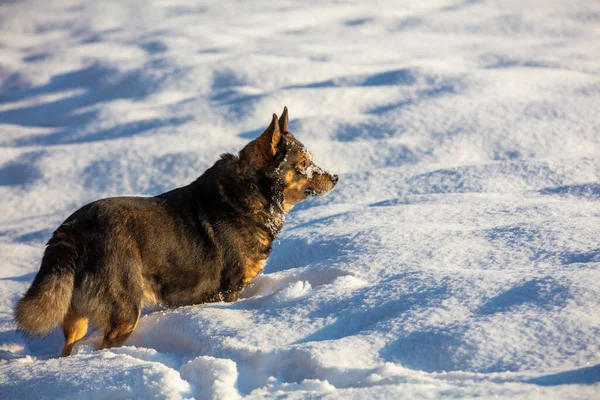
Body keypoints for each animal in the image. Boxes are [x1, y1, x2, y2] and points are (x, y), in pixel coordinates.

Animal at [14, 107, 338, 356]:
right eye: (304, 163)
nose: (335, 177)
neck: (251, 194)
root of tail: (72, 230)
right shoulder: (229, 290)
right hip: (125, 309)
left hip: (76, 315)